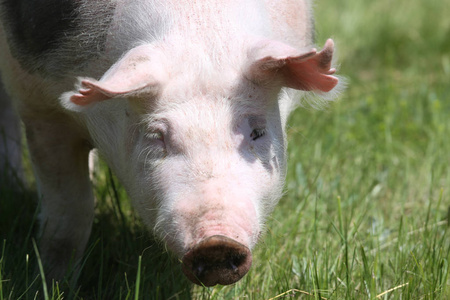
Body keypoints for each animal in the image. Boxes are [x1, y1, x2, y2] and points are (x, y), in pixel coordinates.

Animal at [0, 0, 340, 286]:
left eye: (257, 132)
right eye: (157, 136)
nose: (216, 243)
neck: (200, 18)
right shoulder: (40, 105)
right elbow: (70, 213)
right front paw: (52, 284)